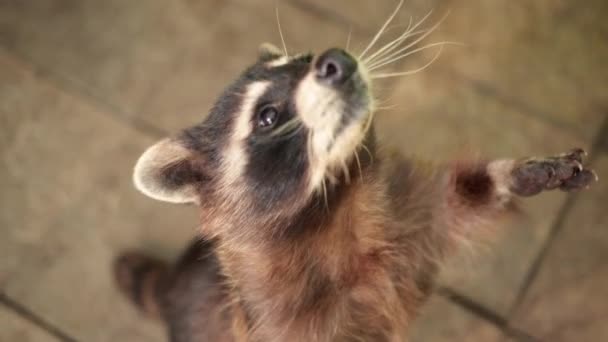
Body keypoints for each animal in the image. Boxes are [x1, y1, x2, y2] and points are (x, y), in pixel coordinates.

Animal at [111, 3, 596, 342]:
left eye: (303, 58)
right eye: (267, 117)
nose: (335, 59)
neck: (339, 198)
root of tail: (177, 281)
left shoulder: (408, 218)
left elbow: (460, 196)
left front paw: (518, 175)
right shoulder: (284, 320)